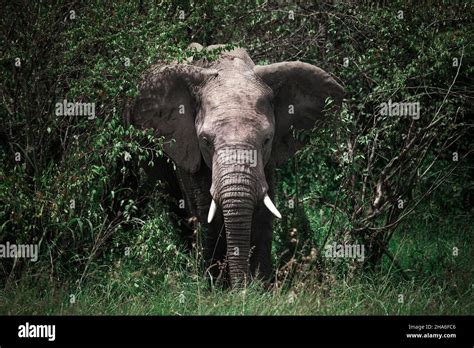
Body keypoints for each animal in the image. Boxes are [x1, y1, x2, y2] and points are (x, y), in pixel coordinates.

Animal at [123, 43, 344, 286]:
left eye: (267, 140)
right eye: (205, 141)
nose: (241, 286)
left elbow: (263, 210)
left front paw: (260, 286)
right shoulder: (190, 150)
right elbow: (205, 212)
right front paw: (215, 286)